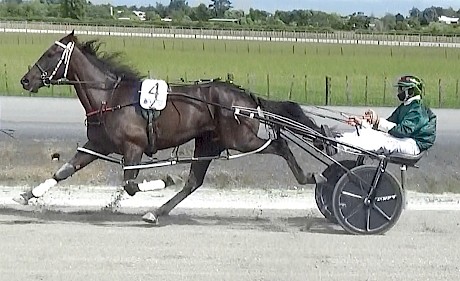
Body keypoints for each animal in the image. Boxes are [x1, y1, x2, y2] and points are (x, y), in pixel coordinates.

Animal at [18, 31, 328, 223]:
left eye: (49, 54)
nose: (25, 80)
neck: (111, 97)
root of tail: (245, 96)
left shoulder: (134, 148)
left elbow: (130, 185)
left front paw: (166, 178)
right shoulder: (97, 145)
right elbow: (62, 171)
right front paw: (26, 194)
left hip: (241, 139)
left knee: (280, 144)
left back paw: (310, 177)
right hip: (209, 142)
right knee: (194, 182)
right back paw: (155, 212)